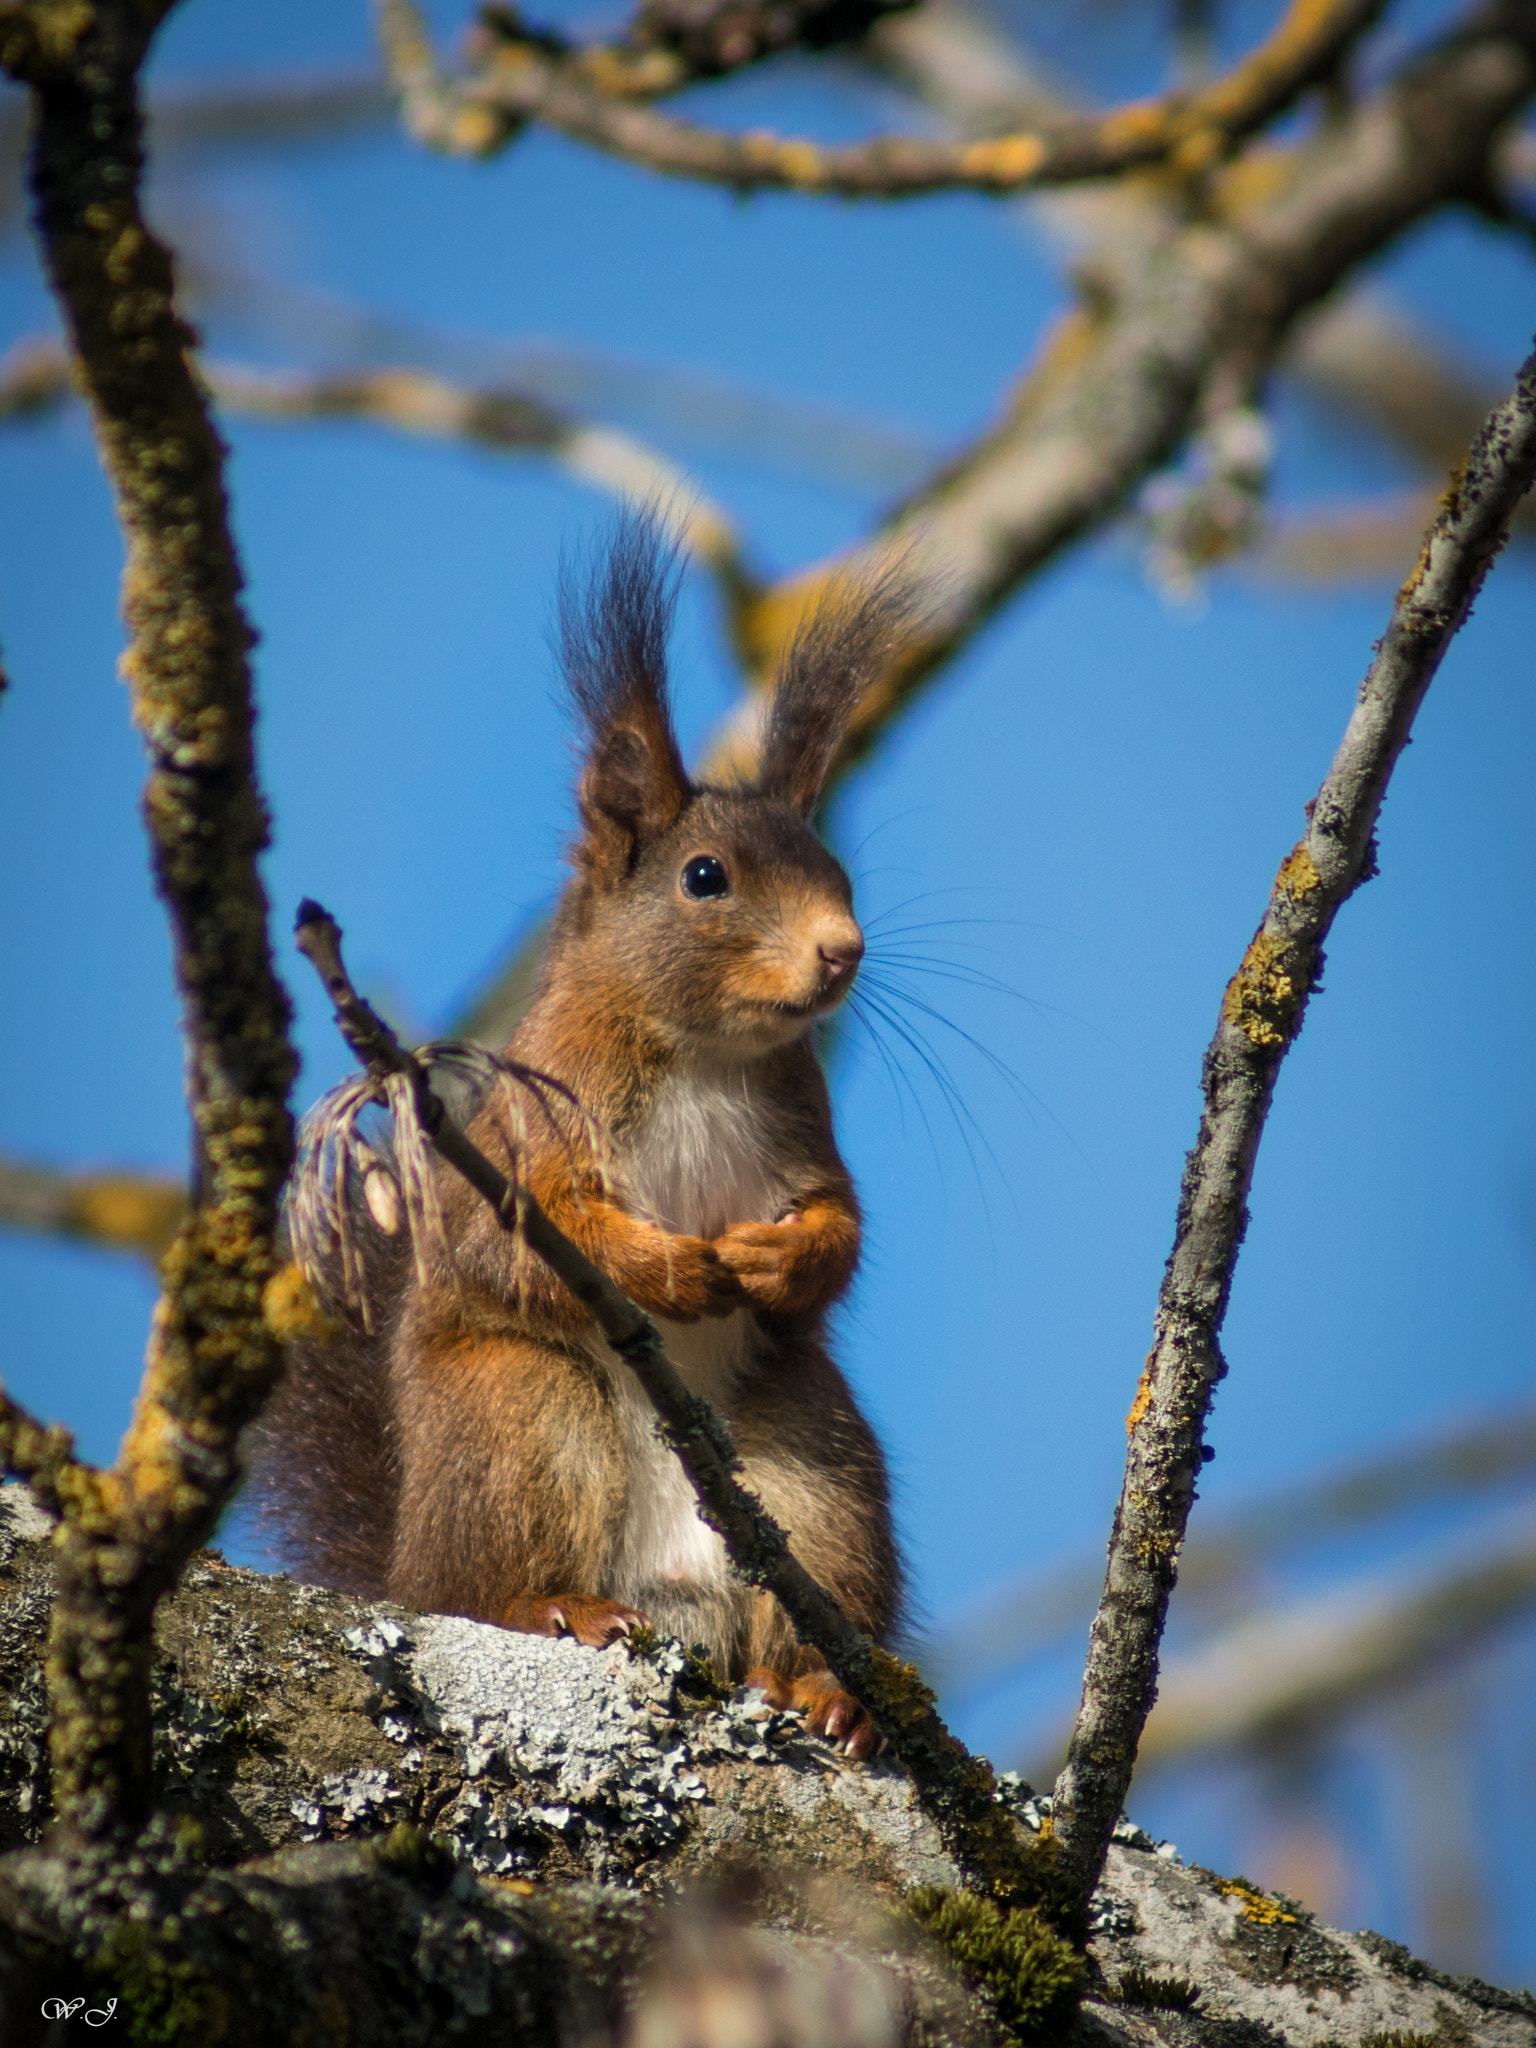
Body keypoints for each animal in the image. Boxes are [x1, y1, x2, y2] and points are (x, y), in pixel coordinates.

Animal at [250, 520, 901, 1753]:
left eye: (843, 874)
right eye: (707, 878)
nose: (842, 949)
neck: (702, 1050)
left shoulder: (806, 1126)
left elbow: (840, 1231)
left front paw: (774, 1259)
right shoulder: (528, 1133)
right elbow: (524, 1241)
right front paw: (670, 1266)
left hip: (817, 1469)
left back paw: (830, 1691)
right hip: (519, 1418)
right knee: (491, 1577)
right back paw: (552, 1606)